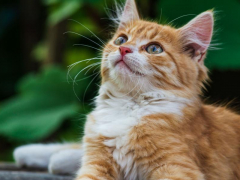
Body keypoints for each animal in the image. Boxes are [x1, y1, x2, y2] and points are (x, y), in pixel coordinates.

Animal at [13, 0, 240, 179]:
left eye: (154, 48)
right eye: (121, 39)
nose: (123, 49)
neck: (127, 105)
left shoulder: (178, 168)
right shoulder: (97, 157)